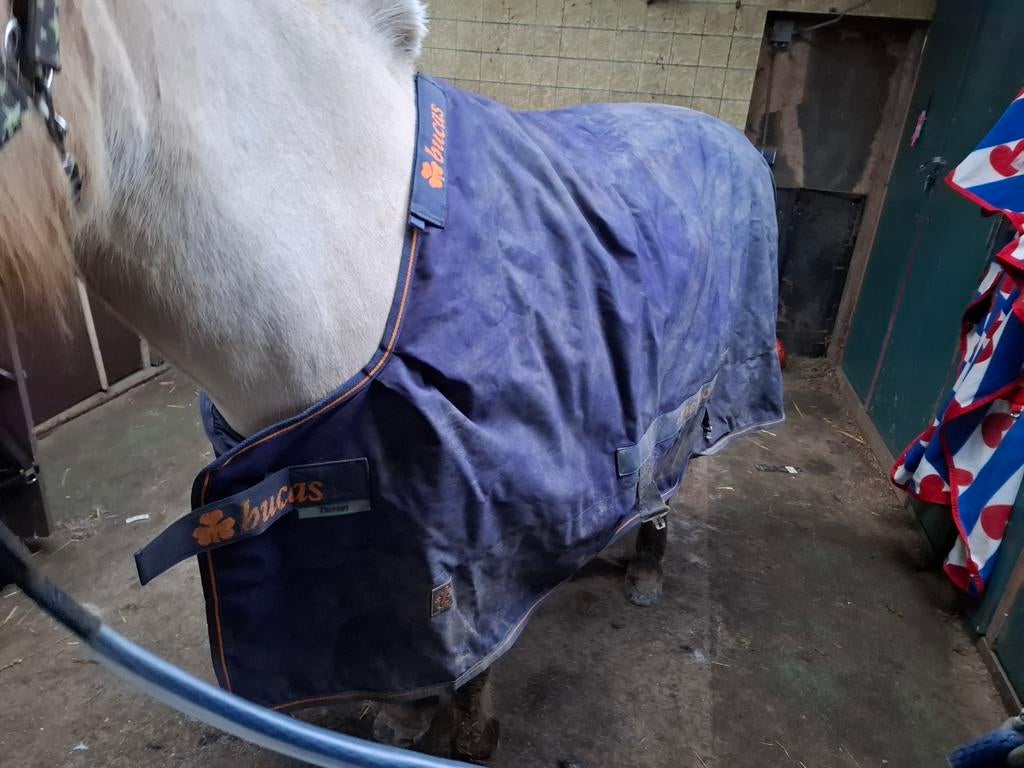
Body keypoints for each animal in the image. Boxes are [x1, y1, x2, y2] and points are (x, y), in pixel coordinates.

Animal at [0, 0, 782, 761]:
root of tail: (731, 135)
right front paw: (405, 716)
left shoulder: (476, 523)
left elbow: (466, 642)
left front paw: (467, 735)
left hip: (693, 395)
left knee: (665, 477)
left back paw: (646, 572)